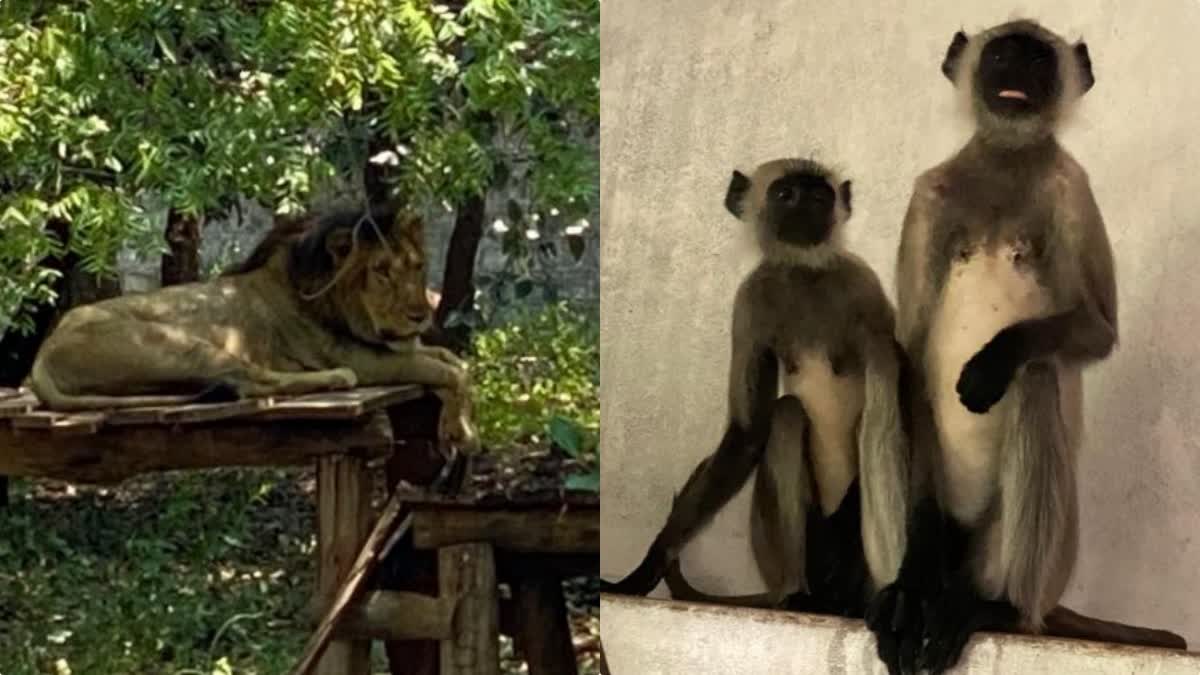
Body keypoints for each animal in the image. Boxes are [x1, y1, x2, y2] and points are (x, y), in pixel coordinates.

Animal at [25, 201, 475, 449]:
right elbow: (448, 371)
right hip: (180, 344)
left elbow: (453, 362)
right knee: (256, 380)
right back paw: (333, 378)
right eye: (381, 272)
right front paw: (462, 434)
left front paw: (459, 424)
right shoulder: (369, 360)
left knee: (243, 383)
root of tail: (44, 353)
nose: (421, 315)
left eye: (417, 266)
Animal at [600, 157, 907, 614]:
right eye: (785, 194)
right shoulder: (749, 305)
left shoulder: (863, 288)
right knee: (787, 413)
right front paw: (647, 566)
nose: (807, 208)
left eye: (821, 196)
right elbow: (747, 434)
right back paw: (799, 595)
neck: (804, 272)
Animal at [873, 18, 1113, 667]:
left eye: (1038, 61)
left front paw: (992, 363)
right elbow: (910, 354)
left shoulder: (1070, 189)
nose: (1017, 77)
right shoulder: (928, 198)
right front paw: (910, 585)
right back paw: (904, 595)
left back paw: (996, 609)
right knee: (885, 365)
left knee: (1035, 375)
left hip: (1017, 553)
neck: (1007, 160)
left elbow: (1100, 331)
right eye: (1003, 56)